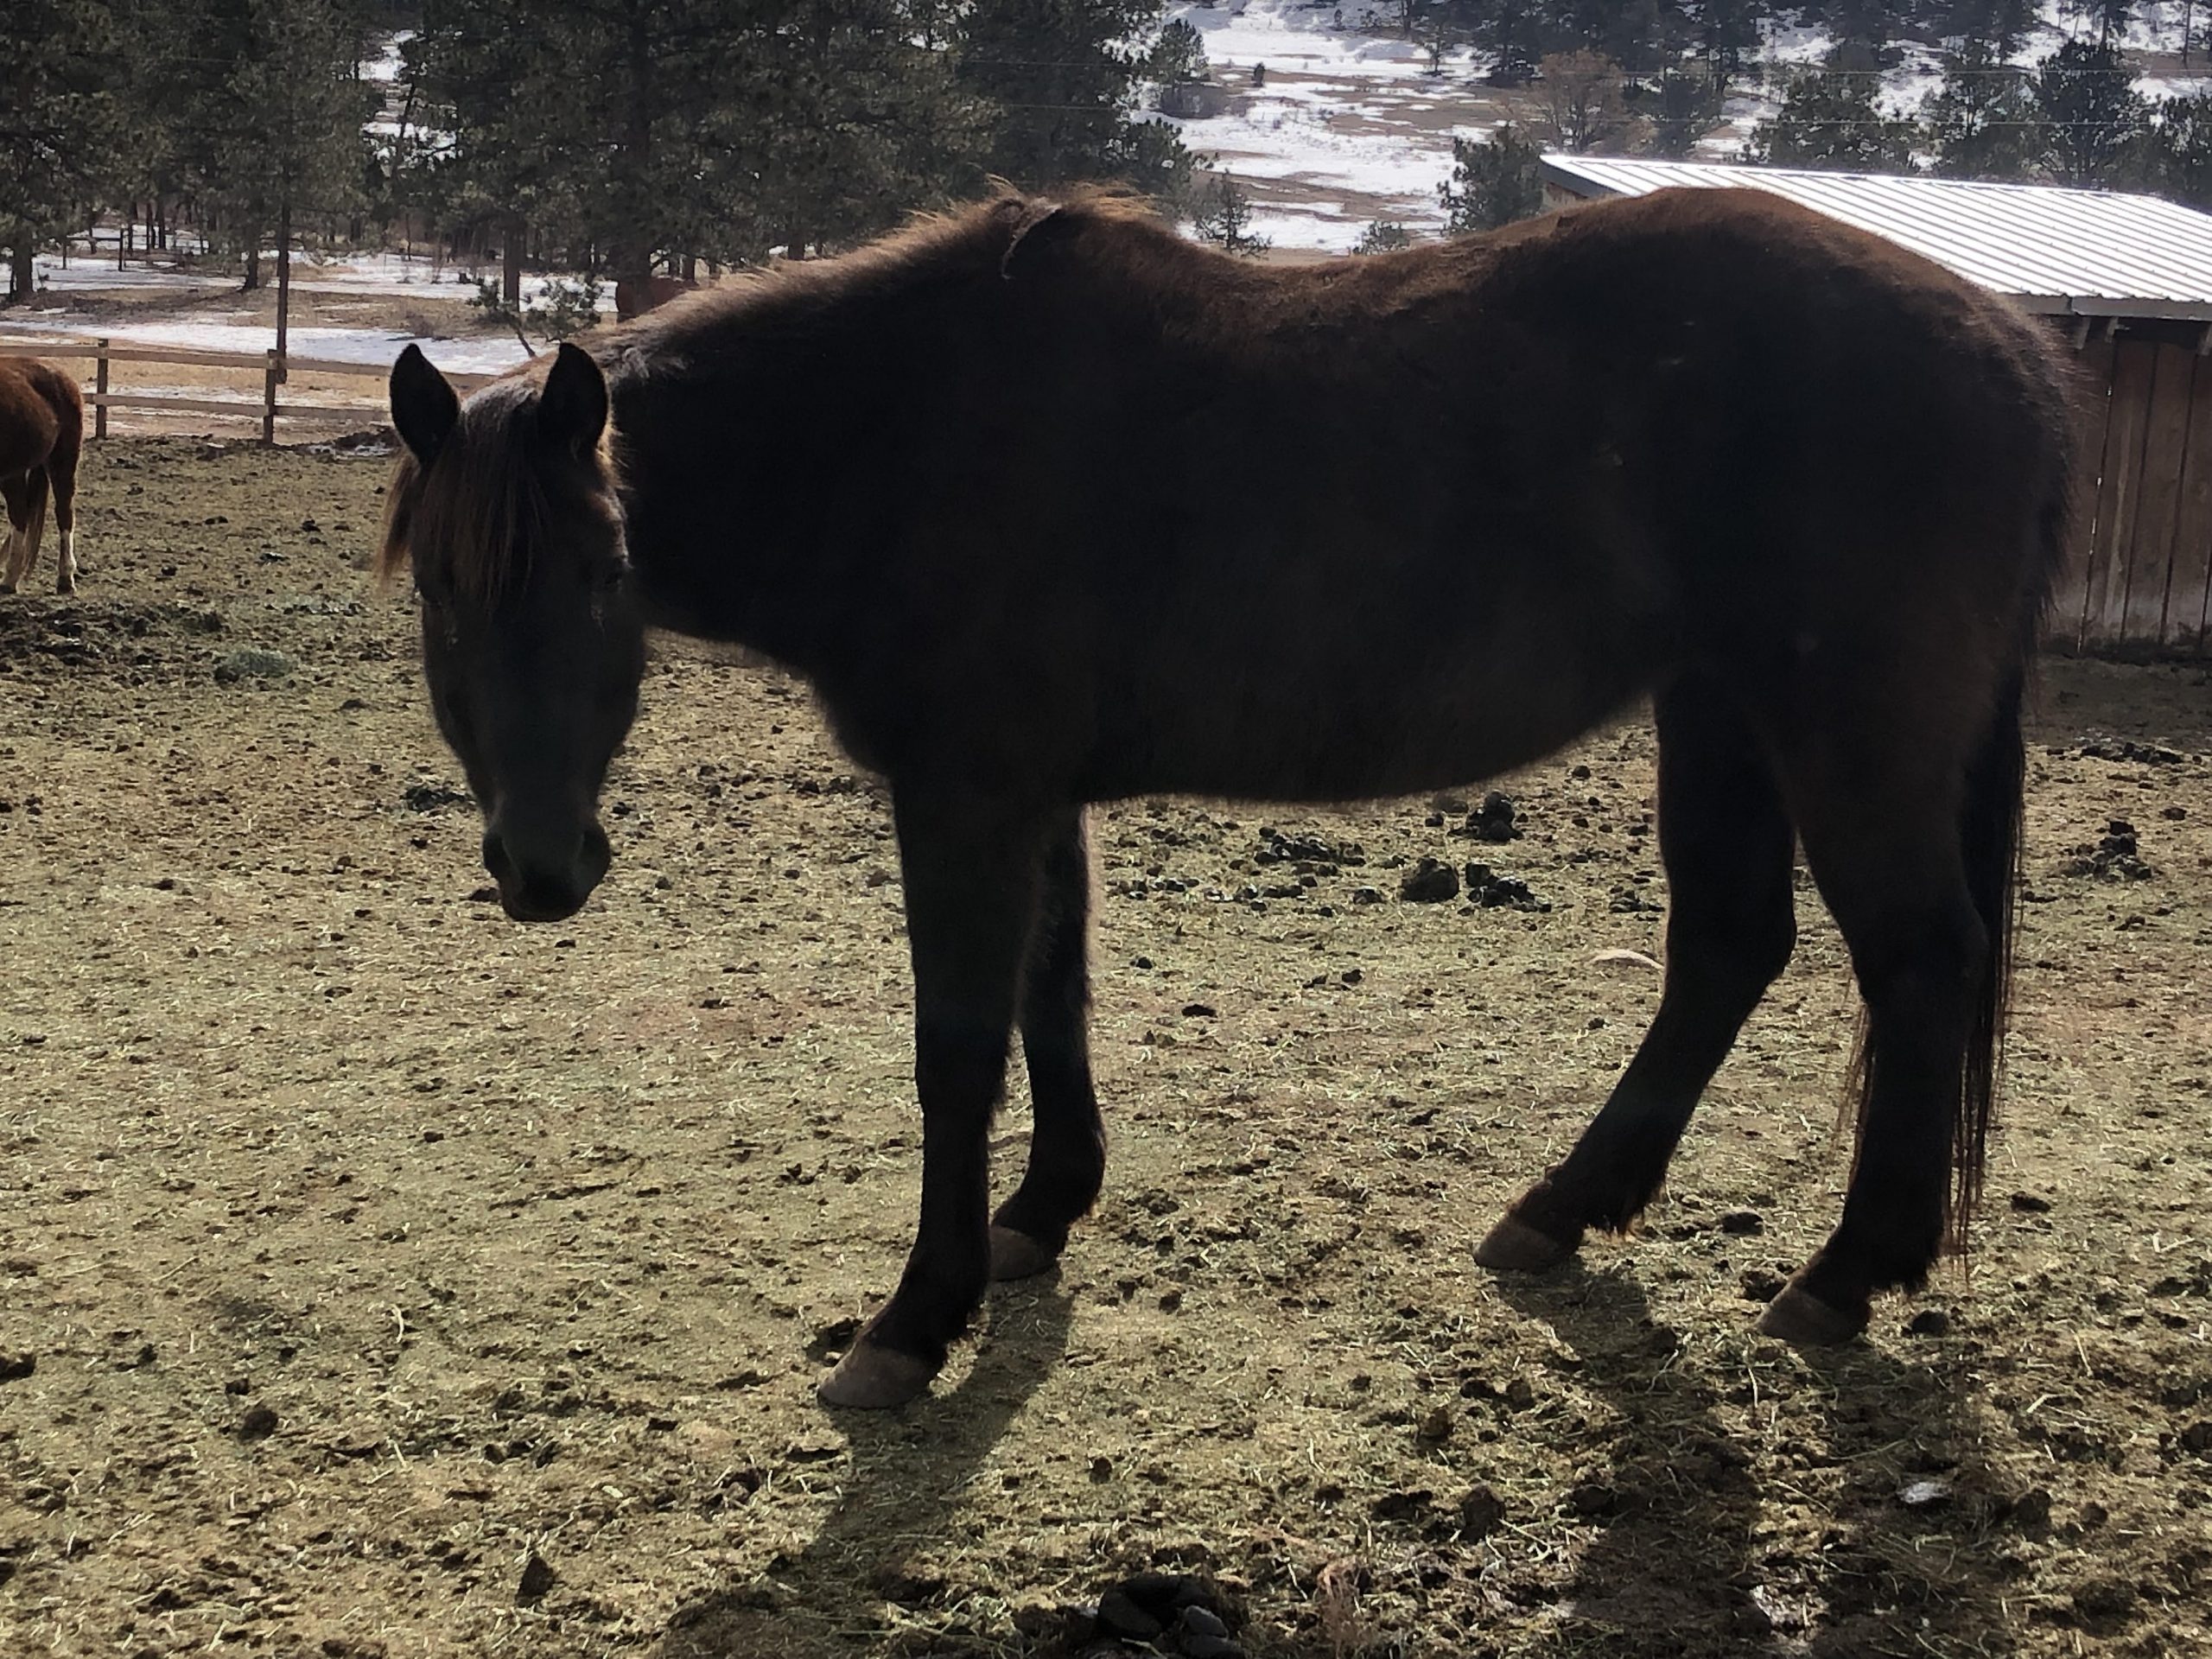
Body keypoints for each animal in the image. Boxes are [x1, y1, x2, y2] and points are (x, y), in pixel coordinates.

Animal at [0, 358, 84, 597]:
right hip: (14, 472)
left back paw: (65, 579)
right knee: (19, 514)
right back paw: (10, 578)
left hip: (63, 461)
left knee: (64, 513)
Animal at [376, 194, 2070, 1415]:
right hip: (1716, 714)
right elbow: (1052, 1000)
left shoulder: (965, 793)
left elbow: (955, 1054)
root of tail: (2007, 343)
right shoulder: (1031, 795)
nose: (541, 869)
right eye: (440, 593)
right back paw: (1566, 1209)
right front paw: (1044, 1212)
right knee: (1729, 948)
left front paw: (916, 1320)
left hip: (1841, 739)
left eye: (605, 571)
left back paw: (1846, 1273)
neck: (909, 425)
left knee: (1917, 958)